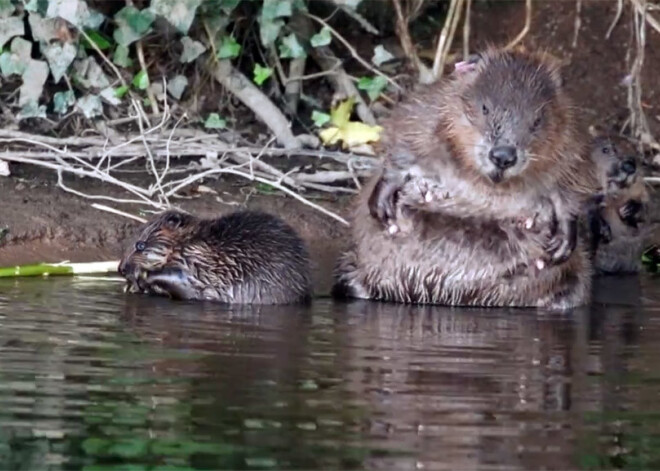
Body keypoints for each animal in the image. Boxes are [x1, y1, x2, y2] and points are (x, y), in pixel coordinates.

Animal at [118, 210, 312, 306]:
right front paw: (132, 286)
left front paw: (142, 280)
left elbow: (184, 281)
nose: (121, 269)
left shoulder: (200, 261)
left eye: (140, 245)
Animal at [584, 136, 652, 272]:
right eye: (606, 149)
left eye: (635, 152)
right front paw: (604, 231)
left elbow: (647, 210)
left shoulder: (640, 190)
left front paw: (629, 209)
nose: (629, 166)